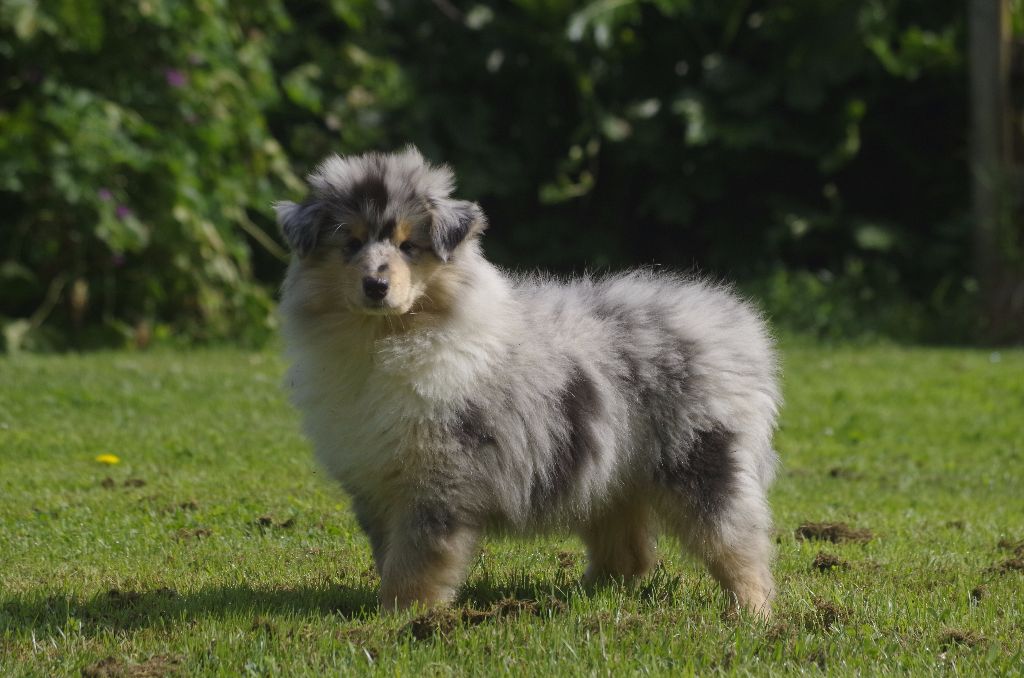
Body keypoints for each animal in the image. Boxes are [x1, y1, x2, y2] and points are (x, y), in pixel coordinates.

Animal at [276, 147, 778, 622]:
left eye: (408, 246)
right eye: (351, 242)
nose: (375, 286)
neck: (387, 336)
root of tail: (736, 327)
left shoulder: (437, 477)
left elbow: (416, 560)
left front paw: (403, 615)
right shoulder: (376, 480)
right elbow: (389, 553)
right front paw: (393, 611)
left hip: (701, 460)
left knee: (737, 542)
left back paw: (751, 613)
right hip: (614, 470)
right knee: (628, 551)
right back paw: (584, 598)